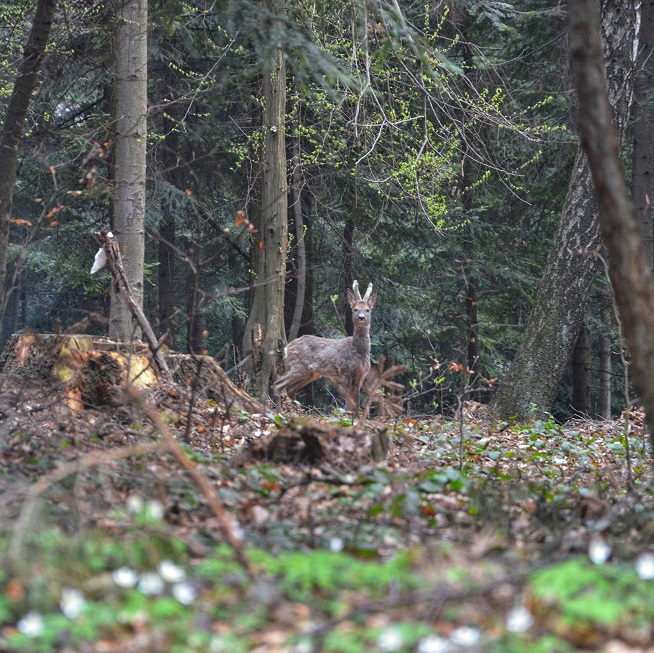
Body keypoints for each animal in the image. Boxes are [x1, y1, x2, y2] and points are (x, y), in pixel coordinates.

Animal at [274, 280, 380, 412]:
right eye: (355, 309)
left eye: (367, 309)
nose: (361, 317)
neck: (359, 351)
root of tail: (287, 347)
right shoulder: (344, 371)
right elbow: (348, 403)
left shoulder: (361, 375)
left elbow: (356, 403)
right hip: (299, 366)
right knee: (278, 384)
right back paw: (279, 412)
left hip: (311, 373)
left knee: (290, 389)